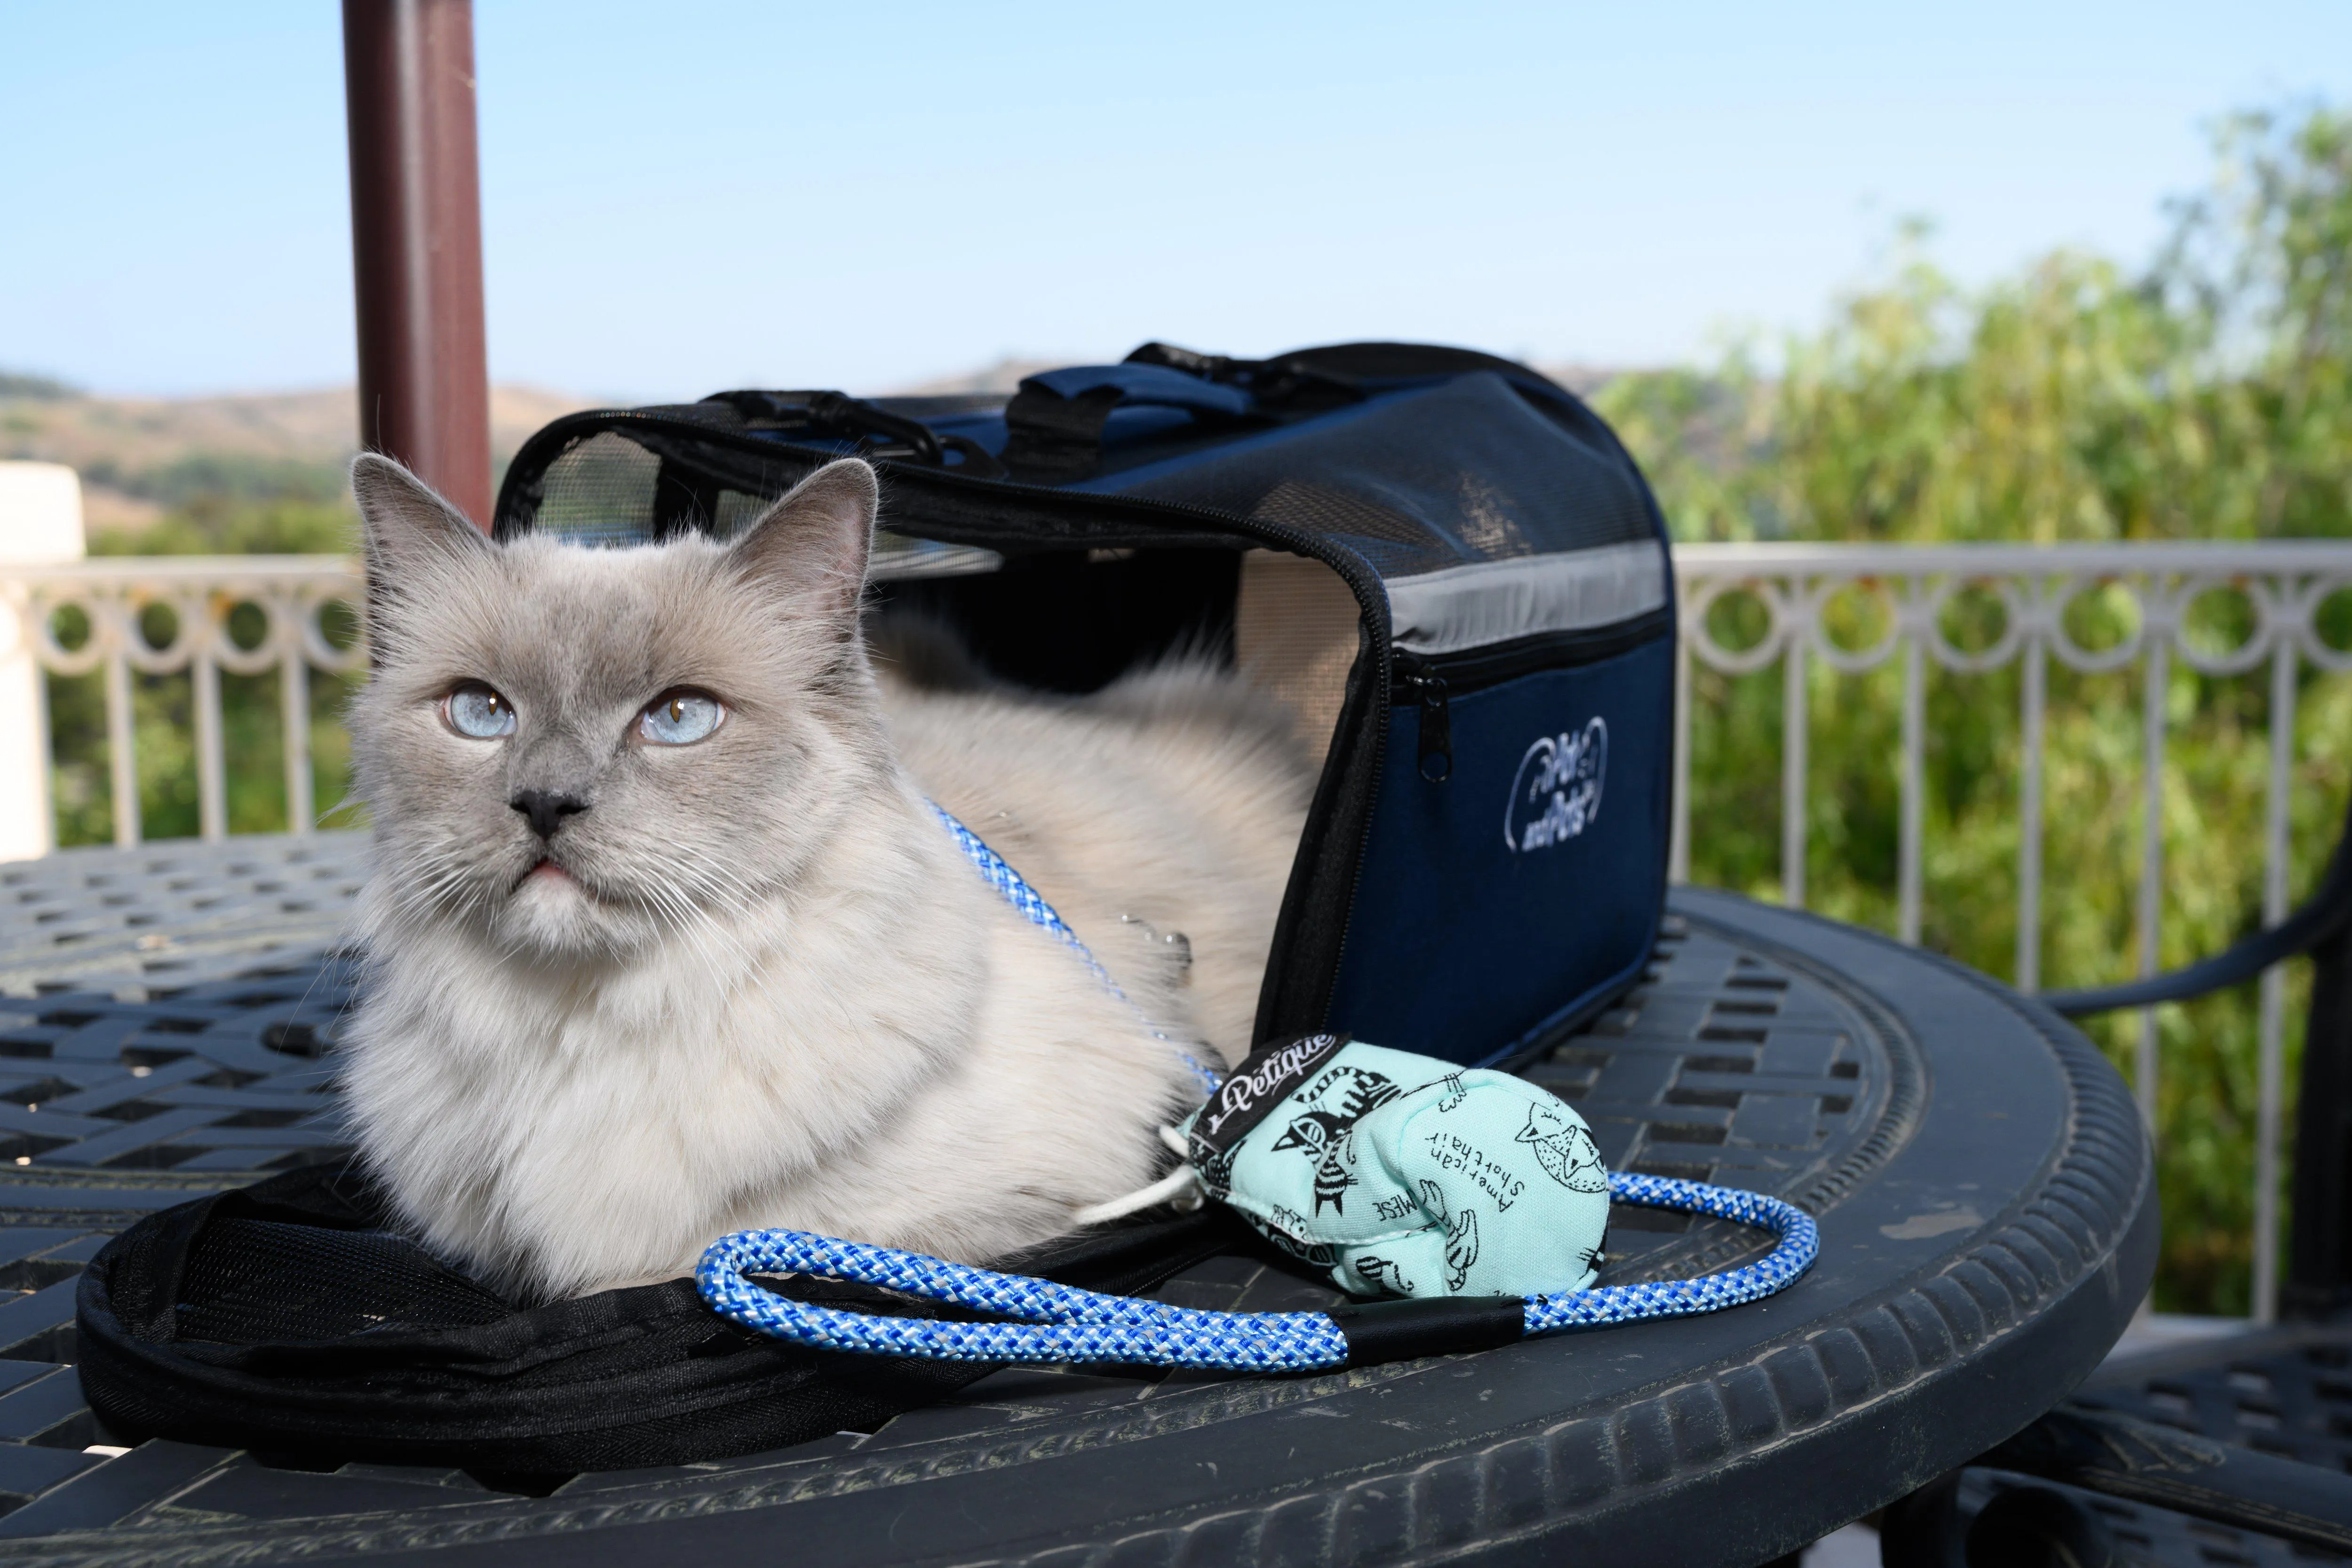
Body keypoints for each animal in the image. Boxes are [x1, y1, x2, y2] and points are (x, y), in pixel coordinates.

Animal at [341, 454, 1317, 1297]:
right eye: (481, 712)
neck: (582, 1025)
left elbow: (704, 1256)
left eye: (680, 717)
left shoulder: (1006, 1209)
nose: (545, 802)